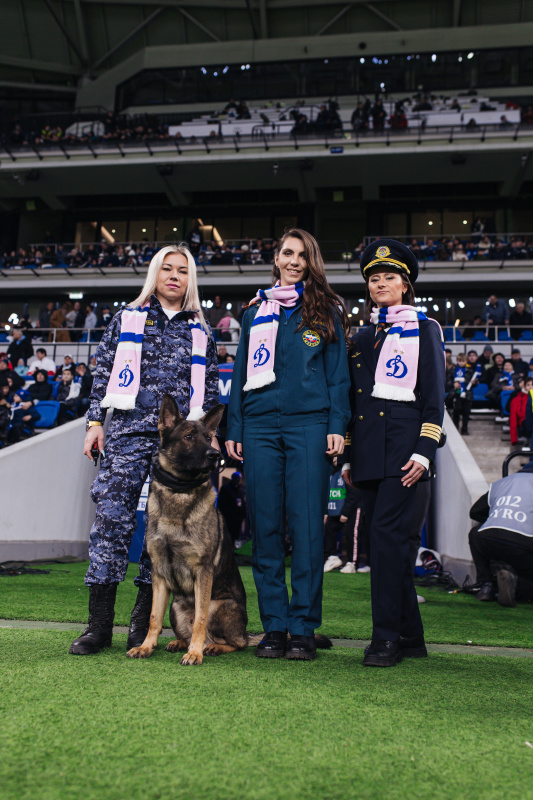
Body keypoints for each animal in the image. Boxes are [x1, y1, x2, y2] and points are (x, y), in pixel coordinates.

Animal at [125, 392, 256, 664]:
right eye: (188, 437)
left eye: (208, 438)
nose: (215, 455)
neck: (179, 491)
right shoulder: (158, 574)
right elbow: (153, 617)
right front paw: (145, 646)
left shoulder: (203, 572)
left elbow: (200, 619)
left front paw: (195, 654)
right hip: (176, 606)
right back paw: (178, 642)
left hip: (220, 605)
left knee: (236, 643)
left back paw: (210, 647)